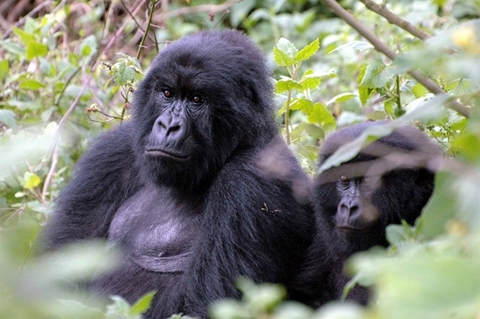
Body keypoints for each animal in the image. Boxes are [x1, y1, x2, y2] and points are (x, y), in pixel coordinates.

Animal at [43, 29, 316, 318]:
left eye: (197, 99)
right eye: (167, 93)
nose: (168, 126)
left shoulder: (254, 181)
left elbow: (208, 303)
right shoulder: (112, 153)